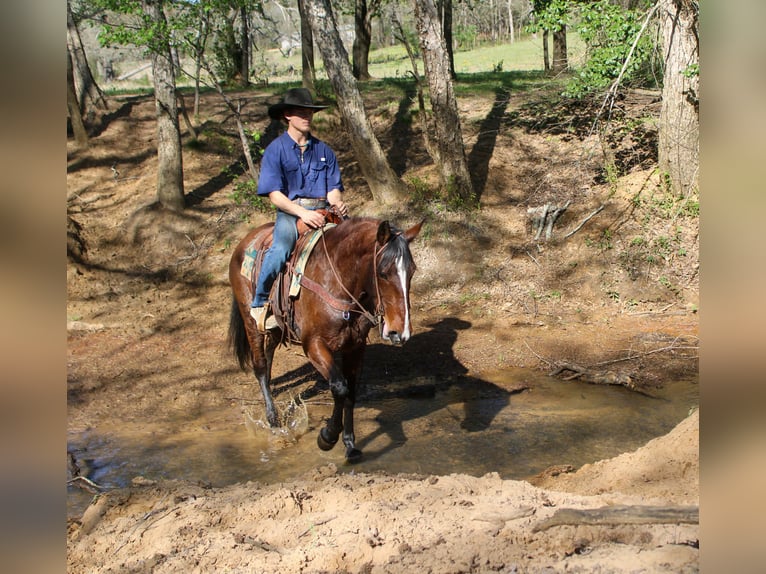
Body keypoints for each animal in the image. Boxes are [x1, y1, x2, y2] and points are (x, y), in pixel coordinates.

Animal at [228, 214, 422, 462]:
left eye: (412, 271)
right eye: (383, 272)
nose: (400, 332)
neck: (337, 281)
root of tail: (245, 241)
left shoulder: (355, 347)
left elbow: (350, 391)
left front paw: (350, 444)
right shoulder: (314, 345)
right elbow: (339, 387)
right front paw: (327, 437)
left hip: (277, 327)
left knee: (269, 357)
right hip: (251, 322)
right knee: (261, 366)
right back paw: (273, 420)